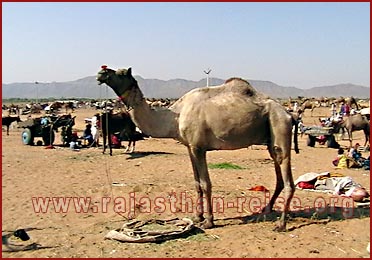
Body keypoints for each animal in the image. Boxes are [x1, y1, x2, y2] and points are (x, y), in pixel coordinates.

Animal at [96, 66, 300, 231]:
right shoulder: (190, 147)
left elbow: (205, 183)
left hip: (279, 126)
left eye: (121, 73)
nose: (101, 73)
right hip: (270, 139)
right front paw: (197, 216)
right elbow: (196, 183)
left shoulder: (198, 147)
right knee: (279, 176)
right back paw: (266, 210)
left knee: (289, 179)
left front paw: (209, 221)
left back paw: (281, 224)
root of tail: (290, 114)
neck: (175, 117)